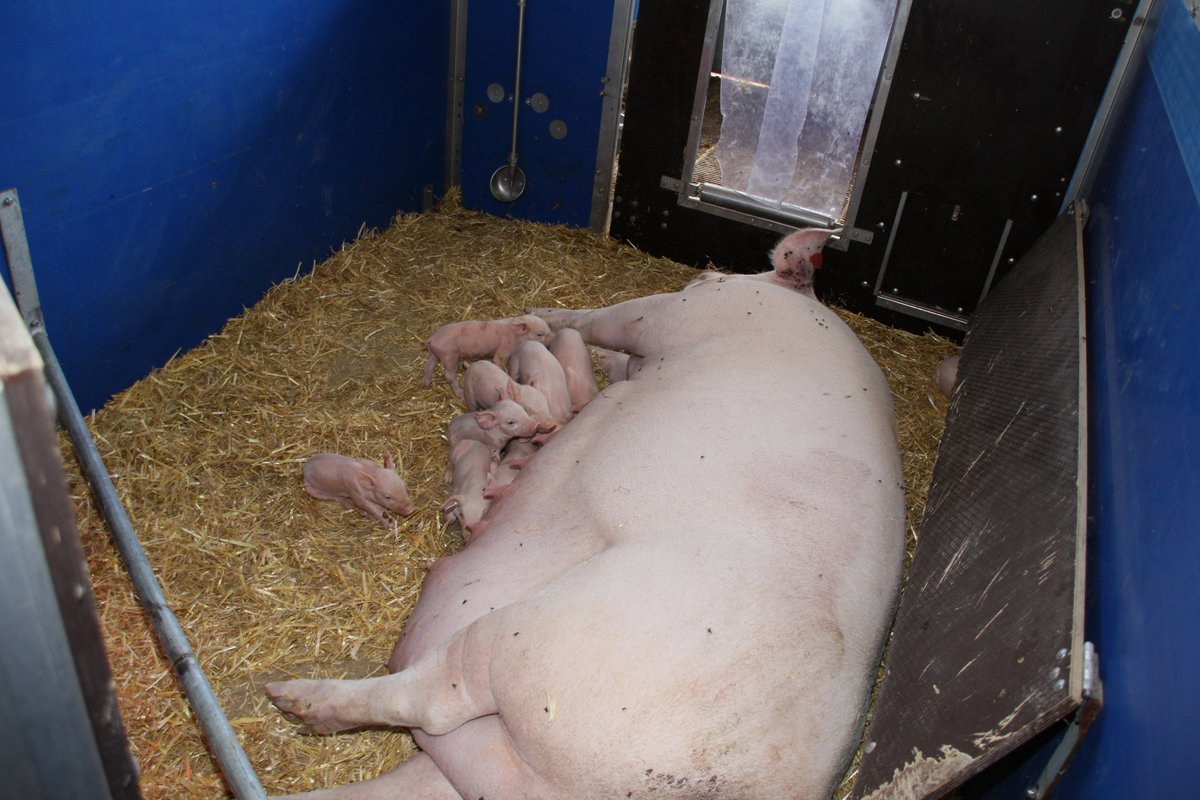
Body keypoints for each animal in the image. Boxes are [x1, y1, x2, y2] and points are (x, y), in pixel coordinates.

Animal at [423, 314, 553, 398]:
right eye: (539, 334)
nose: (553, 338)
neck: (515, 336)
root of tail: (431, 339)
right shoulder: (503, 351)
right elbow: (498, 361)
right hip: (449, 356)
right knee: (449, 375)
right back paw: (460, 394)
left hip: (434, 354)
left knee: (428, 366)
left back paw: (426, 384)